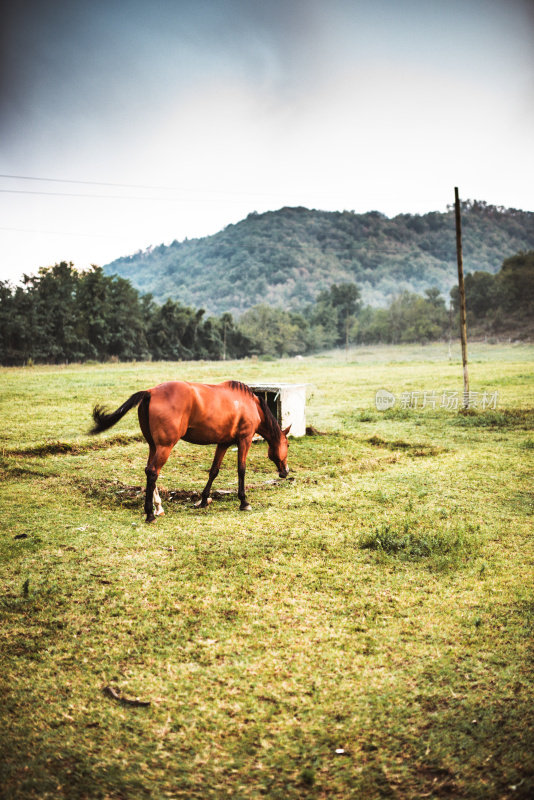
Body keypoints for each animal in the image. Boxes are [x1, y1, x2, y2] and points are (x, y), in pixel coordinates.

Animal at [90, 380, 292, 520]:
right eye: (288, 445)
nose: (285, 472)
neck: (250, 404)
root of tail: (150, 392)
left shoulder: (223, 443)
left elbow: (214, 471)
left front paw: (203, 500)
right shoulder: (245, 440)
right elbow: (241, 470)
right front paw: (244, 502)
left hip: (153, 446)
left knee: (148, 471)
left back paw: (156, 508)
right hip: (164, 447)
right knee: (153, 472)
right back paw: (150, 514)